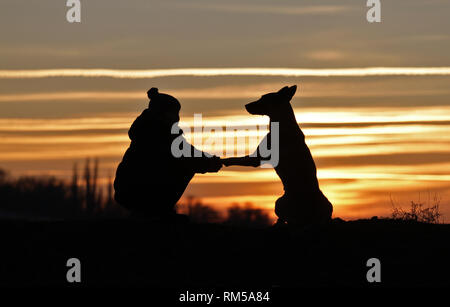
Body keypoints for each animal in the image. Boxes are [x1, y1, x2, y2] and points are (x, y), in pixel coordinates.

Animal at [222, 86, 332, 226]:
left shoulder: (256, 159)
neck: (282, 124)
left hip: (279, 202)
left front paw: (222, 160)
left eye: (263, 98)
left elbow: (237, 159)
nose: (246, 105)